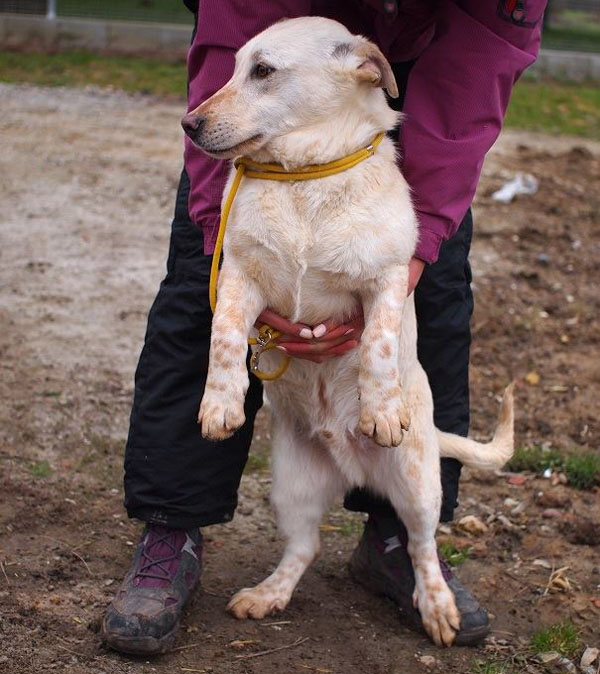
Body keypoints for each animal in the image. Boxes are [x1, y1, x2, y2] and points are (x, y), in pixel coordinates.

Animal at [180, 17, 512, 644]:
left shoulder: (387, 280)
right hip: (291, 484)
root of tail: (350, 464)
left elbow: (378, 344)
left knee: (421, 542)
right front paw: (220, 407)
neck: (304, 179)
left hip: (418, 481)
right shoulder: (239, 278)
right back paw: (267, 595)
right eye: (232, 68)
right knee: (305, 547)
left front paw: (380, 410)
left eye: (263, 70)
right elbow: (225, 339)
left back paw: (438, 607)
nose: (189, 124)